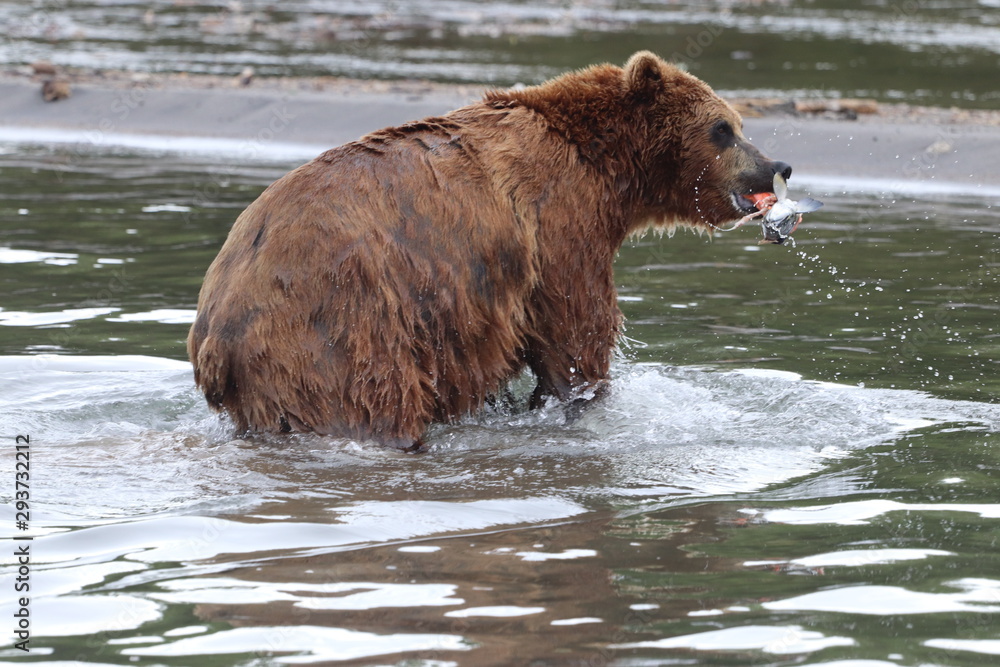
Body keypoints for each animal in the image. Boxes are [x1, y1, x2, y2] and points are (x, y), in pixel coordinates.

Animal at [188, 51, 792, 451]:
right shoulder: (558, 225)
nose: (776, 164)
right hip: (338, 328)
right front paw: (581, 402)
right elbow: (575, 331)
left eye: (740, 123)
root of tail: (214, 334)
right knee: (375, 404)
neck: (604, 168)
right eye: (723, 127)